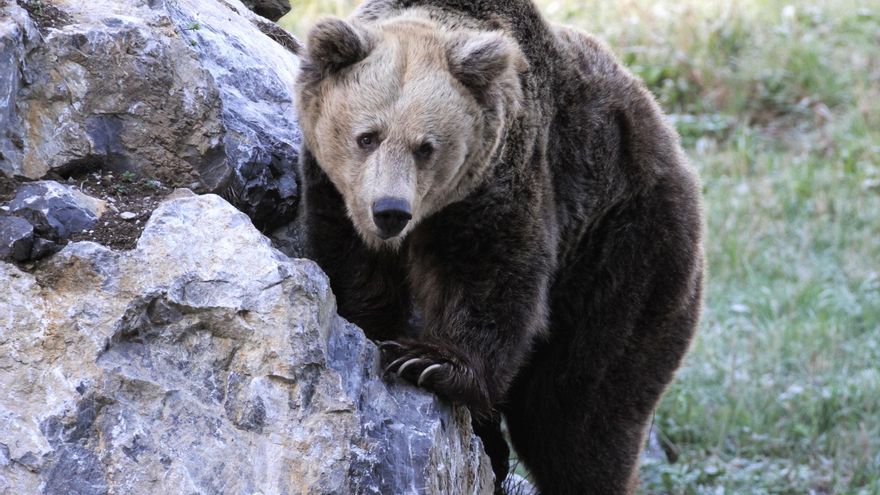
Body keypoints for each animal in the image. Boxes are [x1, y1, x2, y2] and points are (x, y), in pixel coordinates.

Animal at [295, 1, 704, 493]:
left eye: (425, 147)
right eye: (367, 136)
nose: (390, 210)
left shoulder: (507, 180)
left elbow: (496, 280)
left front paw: (428, 362)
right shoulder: (334, 194)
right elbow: (355, 272)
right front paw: (377, 330)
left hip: (626, 252)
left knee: (580, 410)